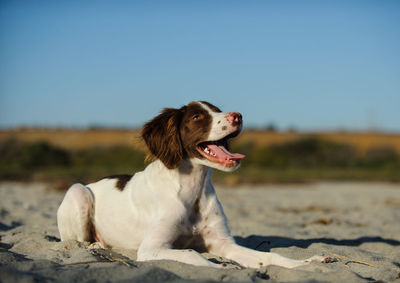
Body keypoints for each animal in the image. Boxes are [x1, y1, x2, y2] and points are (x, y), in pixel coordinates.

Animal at [56, 101, 326, 270]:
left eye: (219, 110)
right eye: (197, 117)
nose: (237, 116)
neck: (192, 190)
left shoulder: (224, 243)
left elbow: (269, 256)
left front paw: (307, 262)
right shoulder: (151, 248)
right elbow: (193, 254)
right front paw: (222, 267)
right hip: (78, 192)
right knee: (75, 240)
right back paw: (96, 244)